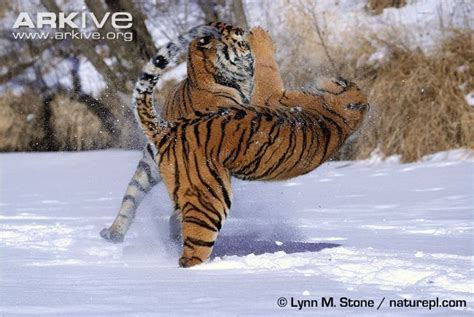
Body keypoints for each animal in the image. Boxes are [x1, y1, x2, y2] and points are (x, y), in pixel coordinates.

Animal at [133, 28, 370, 266]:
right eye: (348, 84)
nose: (342, 78)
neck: (340, 117)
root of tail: (168, 130)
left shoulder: (273, 96)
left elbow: (267, 68)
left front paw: (259, 35)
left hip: (209, 200)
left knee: (192, 253)